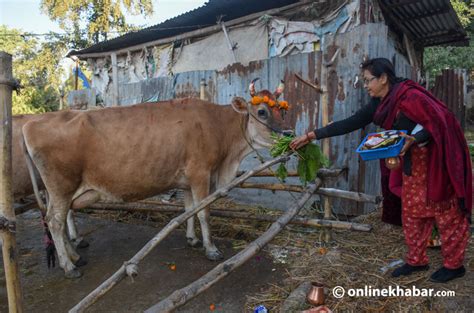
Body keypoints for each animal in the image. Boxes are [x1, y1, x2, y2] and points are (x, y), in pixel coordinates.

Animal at [23, 89, 288, 276]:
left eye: (283, 111)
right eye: (262, 111)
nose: (289, 134)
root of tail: (32, 123)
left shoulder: (187, 179)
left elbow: (190, 209)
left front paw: (192, 239)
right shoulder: (201, 173)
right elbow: (204, 212)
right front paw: (211, 249)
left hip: (57, 191)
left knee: (59, 220)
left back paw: (75, 257)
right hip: (61, 186)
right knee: (55, 221)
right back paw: (69, 267)